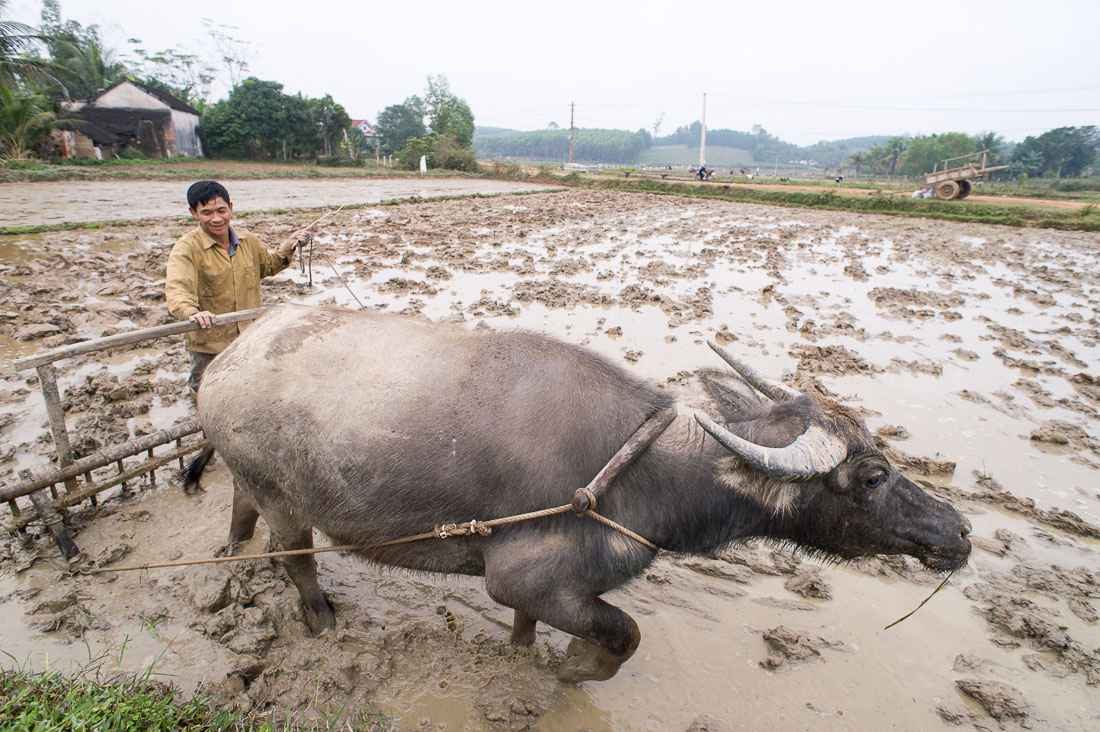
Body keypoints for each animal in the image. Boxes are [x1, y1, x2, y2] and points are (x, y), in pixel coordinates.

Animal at [198, 301, 972, 678]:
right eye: (871, 477)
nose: (960, 532)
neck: (643, 470)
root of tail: (230, 355)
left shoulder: (537, 586)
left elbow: (526, 630)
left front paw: (525, 660)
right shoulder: (529, 579)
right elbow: (624, 635)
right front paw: (575, 669)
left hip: (249, 478)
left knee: (240, 509)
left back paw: (229, 559)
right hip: (285, 498)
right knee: (296, 558)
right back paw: (322, 622)